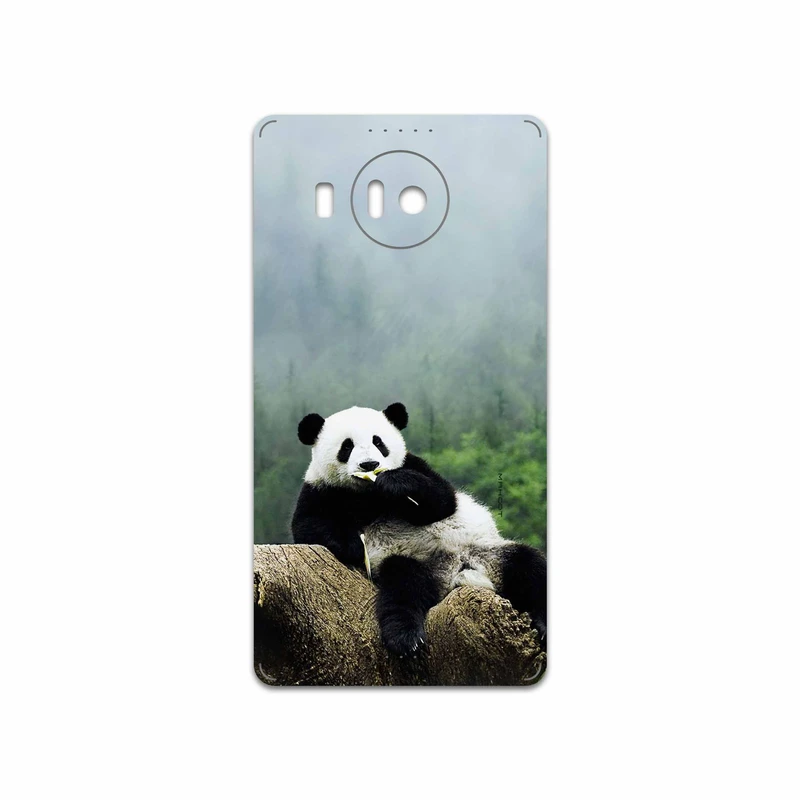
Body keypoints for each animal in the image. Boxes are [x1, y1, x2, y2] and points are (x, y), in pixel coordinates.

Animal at [292, 402, 547, 657]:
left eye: (378, 442)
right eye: (347, 446)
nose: (369, 465)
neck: (368, 494)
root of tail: (456, 572)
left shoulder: (414, 465)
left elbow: (442, 500)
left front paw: (394, 483)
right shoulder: (321, 490)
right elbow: (308, 526)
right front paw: (354, 545)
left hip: (487, 551)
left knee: (529, 566)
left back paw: (542, 624)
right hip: (412, 562)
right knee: (403, 588)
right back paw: (406, 638)